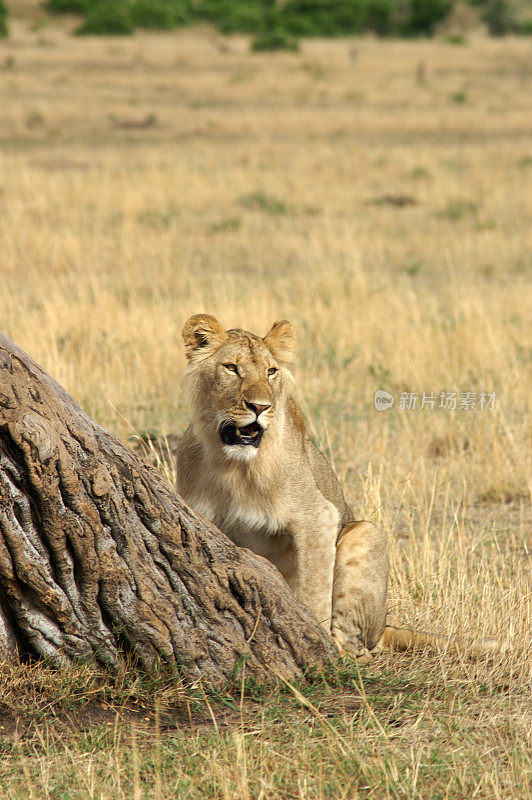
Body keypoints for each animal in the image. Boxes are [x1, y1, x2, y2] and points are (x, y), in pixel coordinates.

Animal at [176, 316, 502, 660]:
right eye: (231, 368)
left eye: (271, 371)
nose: (260, 407)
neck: (231, 465)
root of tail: (382, 627)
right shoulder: (199, 512)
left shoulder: (317, 515)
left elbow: (315, 589)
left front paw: (312, 637)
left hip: (365, 533)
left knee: (357, 649)